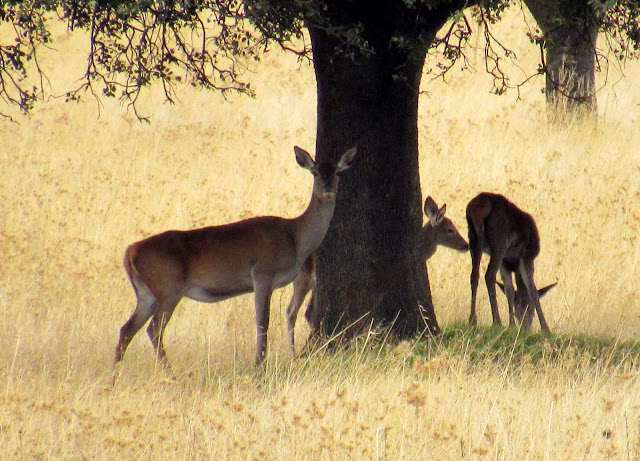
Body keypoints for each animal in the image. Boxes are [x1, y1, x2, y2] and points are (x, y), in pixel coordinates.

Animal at [114, 146, 356, 368]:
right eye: (314, 172)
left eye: (338, 172)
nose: (327, 189)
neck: (295, 238)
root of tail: (131, 251)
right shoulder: (262, 272)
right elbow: (263, 321)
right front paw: (259, 364)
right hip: (168, 288)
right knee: (153, 329)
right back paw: (170, 373)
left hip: (146, 293)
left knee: (126, 329)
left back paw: (115, 376)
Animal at [286, 194, 470, 356]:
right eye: (450, 230)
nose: (466, 245)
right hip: (306, 277)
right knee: (296, 311)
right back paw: (296, 353)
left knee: (300, 311)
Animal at [464, 192, 552, 332]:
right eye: (529, 309)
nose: (525, 326)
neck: (514, 266)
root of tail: (478, 209)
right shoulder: (527, 256)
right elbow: (532, 289)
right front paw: (545, 328)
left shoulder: (505, 263)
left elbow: (509, 290)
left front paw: (511, 324)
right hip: (500, 240)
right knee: (489, 274)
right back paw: (497, 321)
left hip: (473, 238)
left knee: (474, 274)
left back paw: (473, 320)